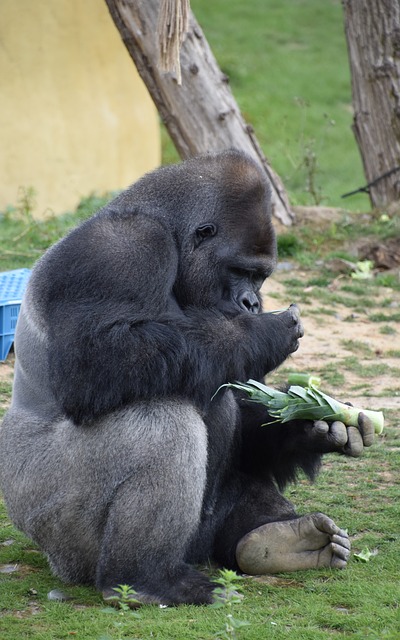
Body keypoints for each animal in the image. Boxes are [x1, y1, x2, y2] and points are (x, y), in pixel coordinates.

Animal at [0, 149, 376, 604]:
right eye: (239, 270)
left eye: (260, 276)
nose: (252, 303)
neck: (169, 231)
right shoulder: (121, 249)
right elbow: (93, 364)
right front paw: (261, 332)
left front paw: (314, 428)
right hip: (57, 531)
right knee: (163, 422)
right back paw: (145, 577)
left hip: (197, 540)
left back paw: (280, 540)